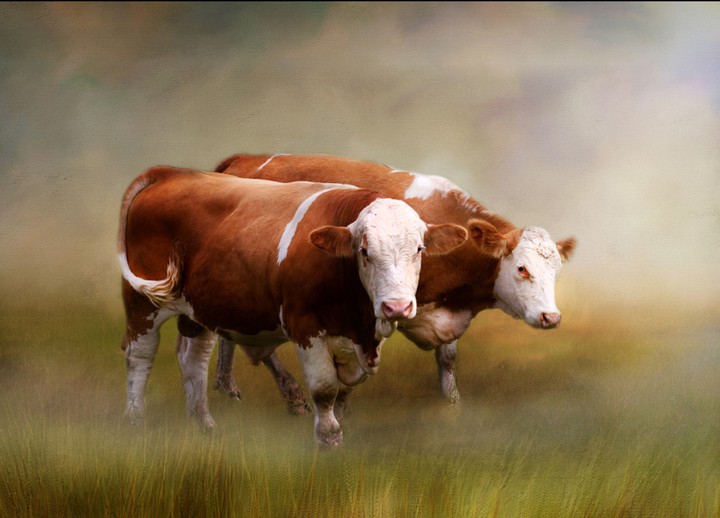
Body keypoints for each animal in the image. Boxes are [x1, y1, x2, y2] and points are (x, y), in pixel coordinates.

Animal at [117, 165, 467, 445]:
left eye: (419, 249)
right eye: (364, 251)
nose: (397, 307)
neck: (360, 323)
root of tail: (174, 172)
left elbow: (345, 387)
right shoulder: (305, 326)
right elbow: (325, 389)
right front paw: (328, 440)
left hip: (200, 309)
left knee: (194, 360)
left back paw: (204, 425)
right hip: (142, 302)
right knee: (140, 356)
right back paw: (134, 421)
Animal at [211, 153, 576, 412]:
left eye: (556, 272)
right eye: (522, 269)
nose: (551, 317)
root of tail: (244, 158)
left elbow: (447, 360)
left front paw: (453, 408)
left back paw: (226, 385)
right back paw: (289, 394)